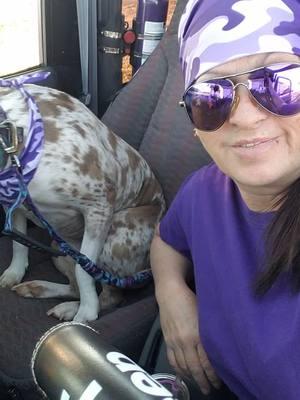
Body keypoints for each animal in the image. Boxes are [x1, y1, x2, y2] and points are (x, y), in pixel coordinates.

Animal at [0, 80, 165, 322]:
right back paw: (43, 291)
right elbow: (19, 245)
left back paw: (73, 310)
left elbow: (84, 270)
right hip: (59, 247)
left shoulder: (99, 206)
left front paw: (86, 313)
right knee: (74, 286)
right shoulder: (16, 207)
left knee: (109, 294)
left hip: (117, 234)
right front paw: (14, 272)